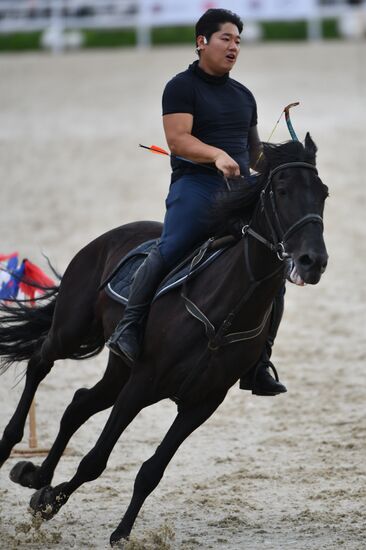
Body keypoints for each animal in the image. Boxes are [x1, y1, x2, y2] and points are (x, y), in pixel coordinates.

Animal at [0, 136, 326, 548]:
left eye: (323, 194)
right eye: (282, 192)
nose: (314, 261)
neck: (223, 311)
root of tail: (107, 238)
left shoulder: (202, 403)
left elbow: (151, 471)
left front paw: (106, 525)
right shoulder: (142, 383)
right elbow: (95, 460)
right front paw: (52, 503)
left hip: (118, 371)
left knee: (78, 404)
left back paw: (37, 476)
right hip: (73, 332)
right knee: (40, 363)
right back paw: (8, 444)